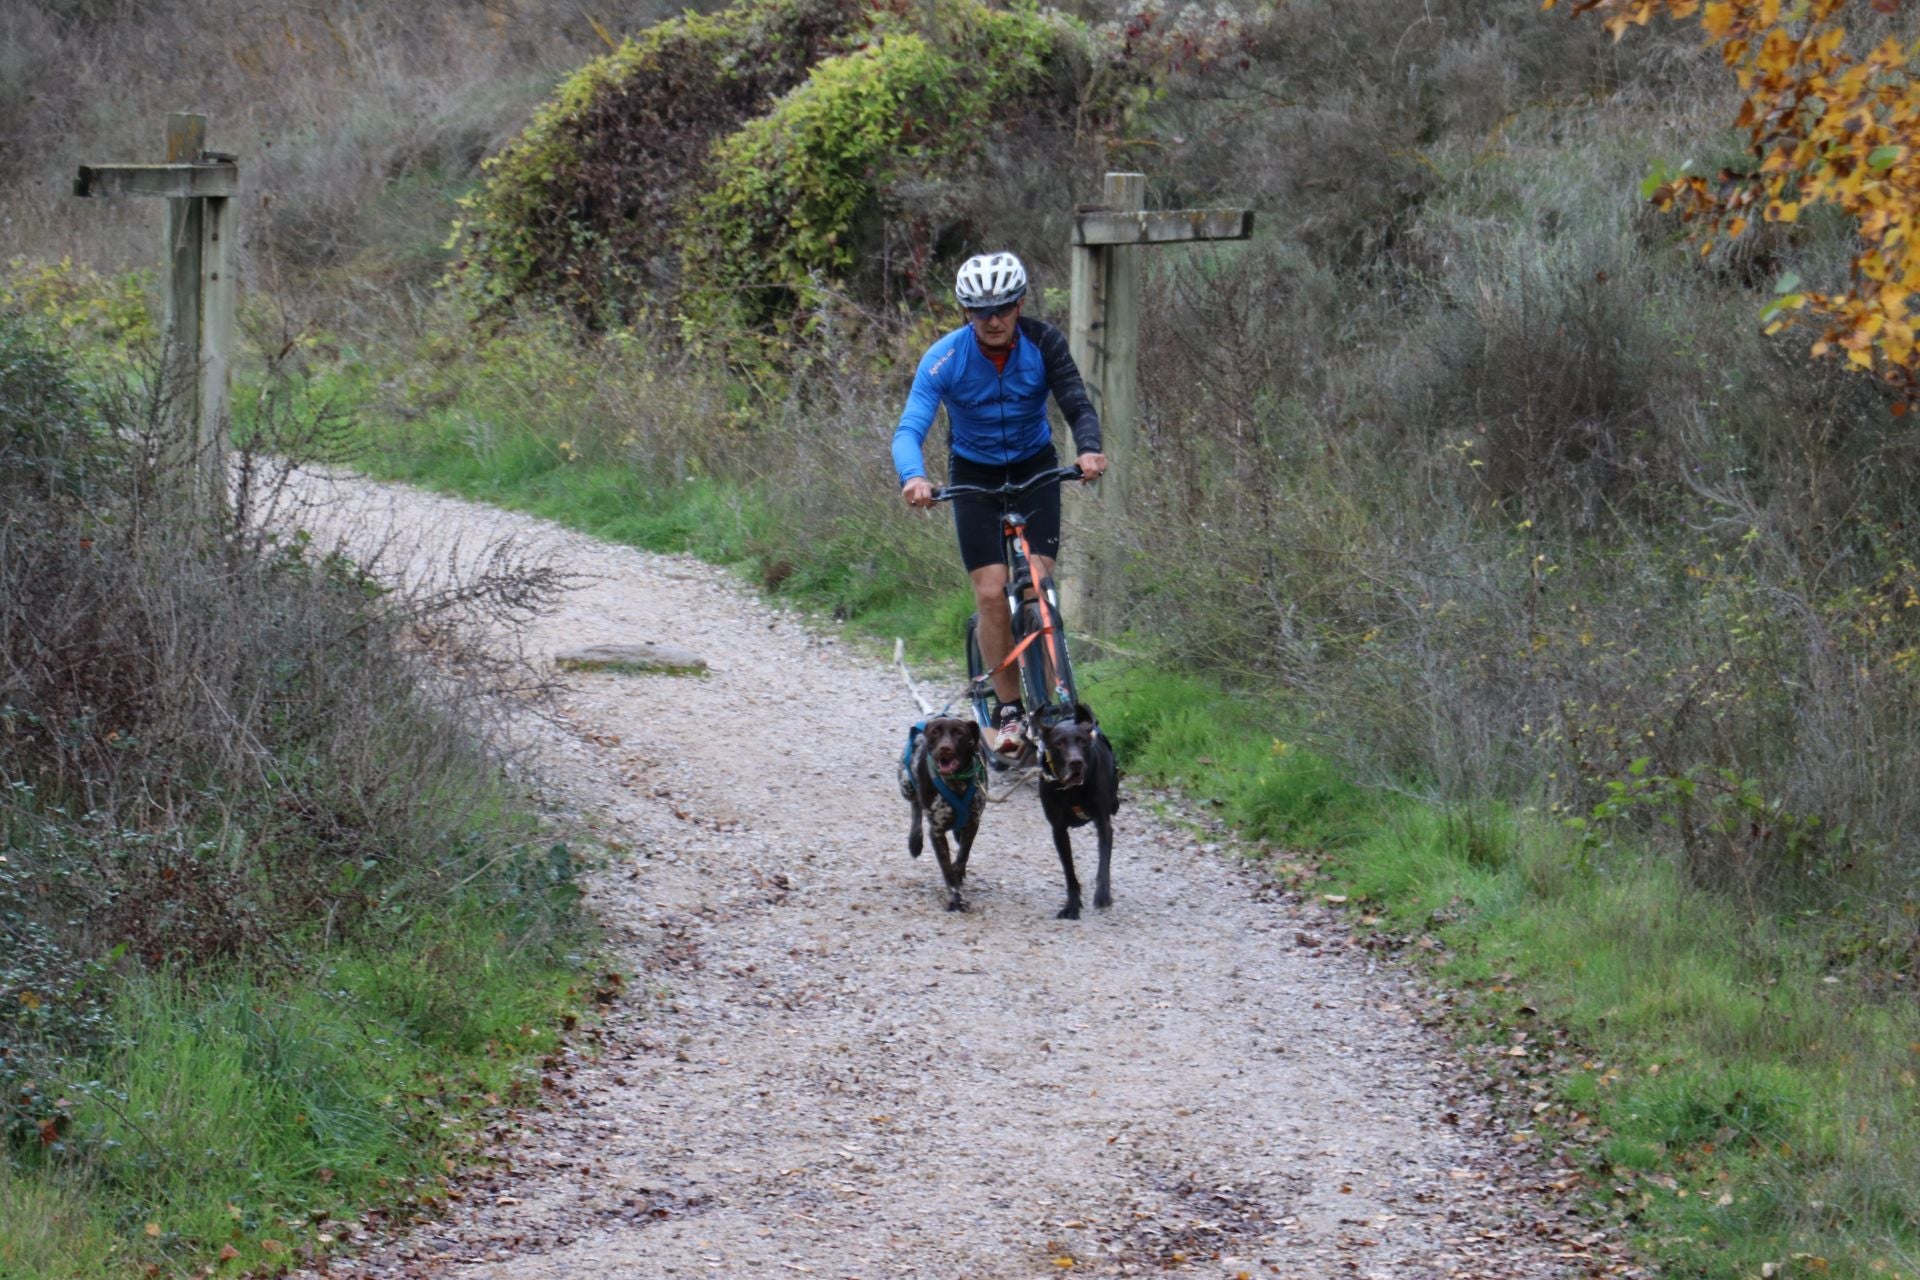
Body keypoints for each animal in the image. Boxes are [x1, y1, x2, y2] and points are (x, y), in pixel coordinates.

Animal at [898, 721, 990, 909]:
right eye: (935, 732)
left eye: (959, 733)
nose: (945, 748)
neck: (957, 783)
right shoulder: (937, 831)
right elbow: (946, 868)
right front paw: (956, 898)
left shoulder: (973, 822)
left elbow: (963, 854)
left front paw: (958, 872)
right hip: (906, 785)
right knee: (916, 806)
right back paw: (915, 841)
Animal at [1036, 702, 1121, 921]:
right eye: (1059, 743)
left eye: (1082, 741)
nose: (1076, 762)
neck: (1072, 790)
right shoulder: (1058, 830)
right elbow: (1069, 872)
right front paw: (1072, 905)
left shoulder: (1103, 823)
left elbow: (1103, 863)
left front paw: (1103, 894)